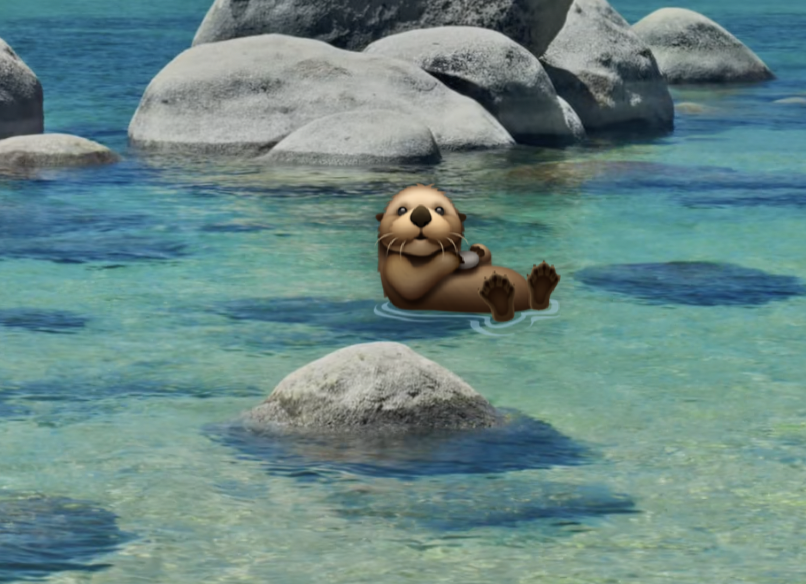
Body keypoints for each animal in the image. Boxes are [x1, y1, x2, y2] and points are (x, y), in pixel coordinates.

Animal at [376, 184, 560, 322]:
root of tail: (524, 306)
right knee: (504, 315)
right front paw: (451, 257)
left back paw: (542, 278)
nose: (420, 215)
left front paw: (478, 249)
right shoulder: (393, 262)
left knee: (537, 304)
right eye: (401, 210)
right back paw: (498, 292)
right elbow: (411, 284)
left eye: (440, 209)